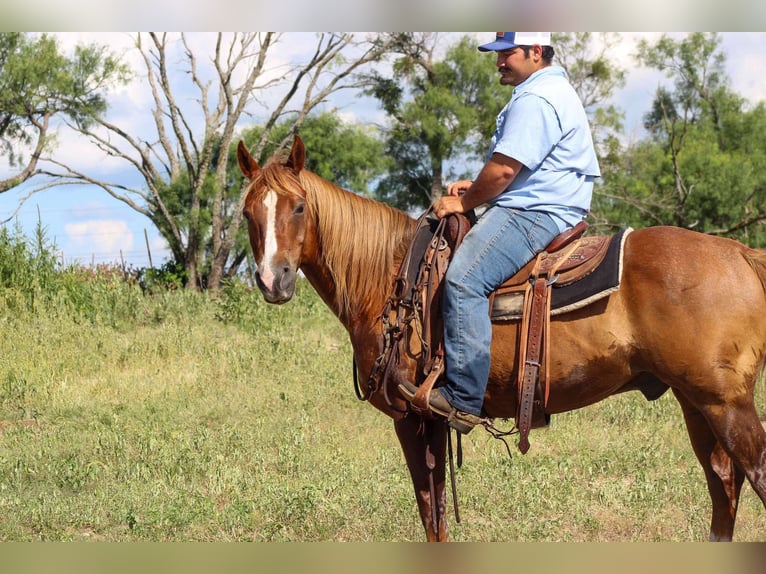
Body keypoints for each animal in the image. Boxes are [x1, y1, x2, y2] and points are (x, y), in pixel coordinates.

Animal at [236, 135, 766, 542]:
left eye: (299, 207)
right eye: (247, 214)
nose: (272, 280)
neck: (390, 278)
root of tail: (740, 253)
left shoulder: (411, 418)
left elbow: (431, 516)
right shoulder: (428, 423)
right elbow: (437, 515)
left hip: (726, 404)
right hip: (695, 402)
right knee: (724, 486)